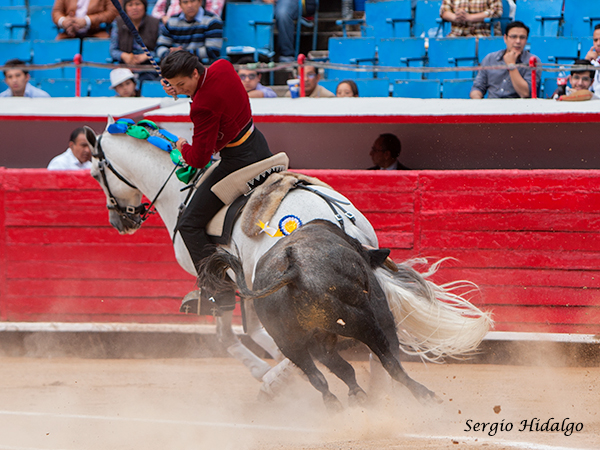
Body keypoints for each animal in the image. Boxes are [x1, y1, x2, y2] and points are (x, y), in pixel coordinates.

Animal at [202, 219, 440, 412]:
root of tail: (294, 270)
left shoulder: (317, 341)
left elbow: (341, 370)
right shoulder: (381, 312)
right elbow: (387, 357)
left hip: (290, 342)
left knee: (319, 375)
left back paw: (336, 402)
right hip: (363, 322)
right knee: (389, 361)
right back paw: (423, 394)